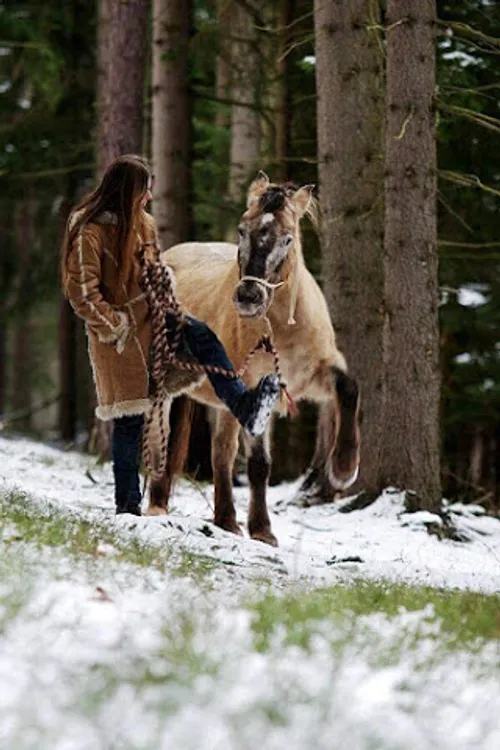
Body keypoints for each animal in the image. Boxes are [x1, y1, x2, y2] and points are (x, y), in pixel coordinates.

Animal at [146, 173, 362, 548]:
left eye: (287, 238)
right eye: (241, 229)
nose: (249, 297)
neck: (281, 328)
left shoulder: (313, 376)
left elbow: (348, 387)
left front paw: (343, 468)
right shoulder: (251, 389)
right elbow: (259, 462)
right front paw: (260, 529)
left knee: (220, 452)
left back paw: (225, 520)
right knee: (165, 437)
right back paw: (158, 506)